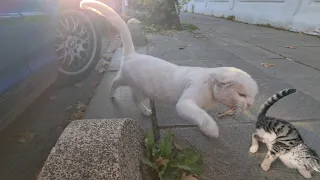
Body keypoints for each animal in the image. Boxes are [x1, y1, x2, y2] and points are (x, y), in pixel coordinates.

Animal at [81, 0, 258, 138]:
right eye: (242, 95)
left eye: (252, 97)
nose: (250, 105)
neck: (209, 87)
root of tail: (133, 54)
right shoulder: (185, 103)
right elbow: (202, 116)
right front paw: (211, 130)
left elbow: (201, 114)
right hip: (136, 86)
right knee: (122, 89)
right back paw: (133, 104)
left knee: (120, 84)